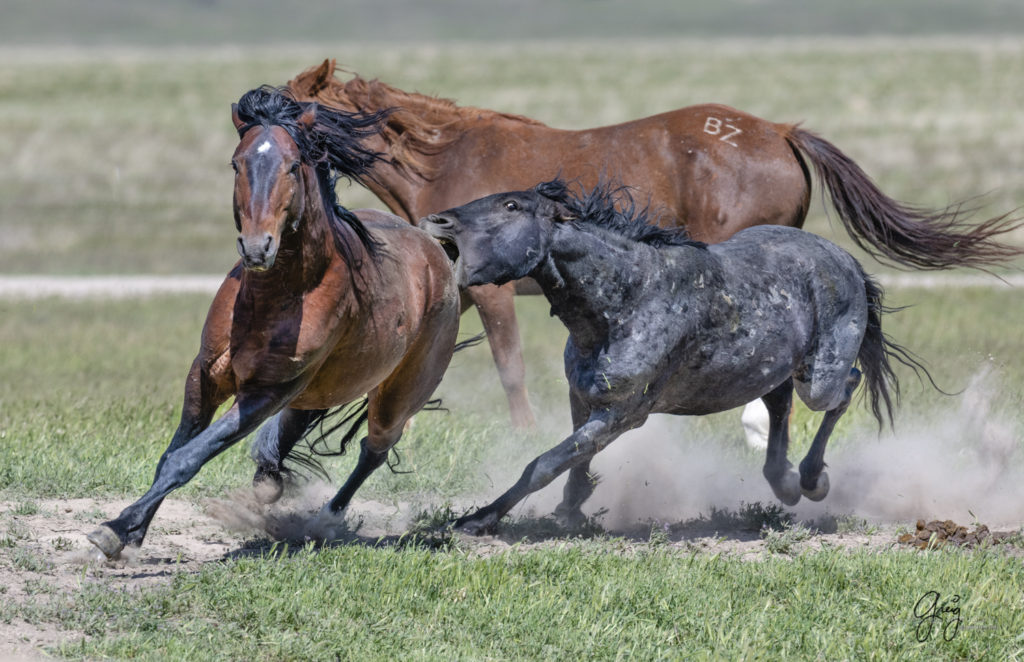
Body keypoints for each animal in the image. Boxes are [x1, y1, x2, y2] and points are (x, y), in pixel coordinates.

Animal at [86, 85, 462, 557]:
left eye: (293, 165)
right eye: (236, 163)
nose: (257, 247)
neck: (274, 297)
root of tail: (436, 252)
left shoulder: (267, 391)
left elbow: (186, 459)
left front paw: (115, 530)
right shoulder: (205, 375)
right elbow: (172, 453)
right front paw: (133, 530)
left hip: (398, 394)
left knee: (372, 450)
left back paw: (324, 520)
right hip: (322, 388)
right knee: (298, 431)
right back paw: (270, 480)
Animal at [288, 58, 1024, 430]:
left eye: (293, 101)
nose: (255, 108)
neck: (442, 158)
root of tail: (781, 131)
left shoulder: (493, 292)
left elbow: (510, 370)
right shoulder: (460, 291)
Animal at [419, 179, 933, 536]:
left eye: (511, 205)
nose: (435, 221)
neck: (625, 299)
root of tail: (845, 259)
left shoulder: (623, 415)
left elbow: (544, 463)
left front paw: (479, 520)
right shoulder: (583, 399)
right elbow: (573, 459)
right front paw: (571, 507)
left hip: (820, 379)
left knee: (844, 387)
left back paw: (810, 480)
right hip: (772, 370)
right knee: (779, 400)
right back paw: (784, 481)